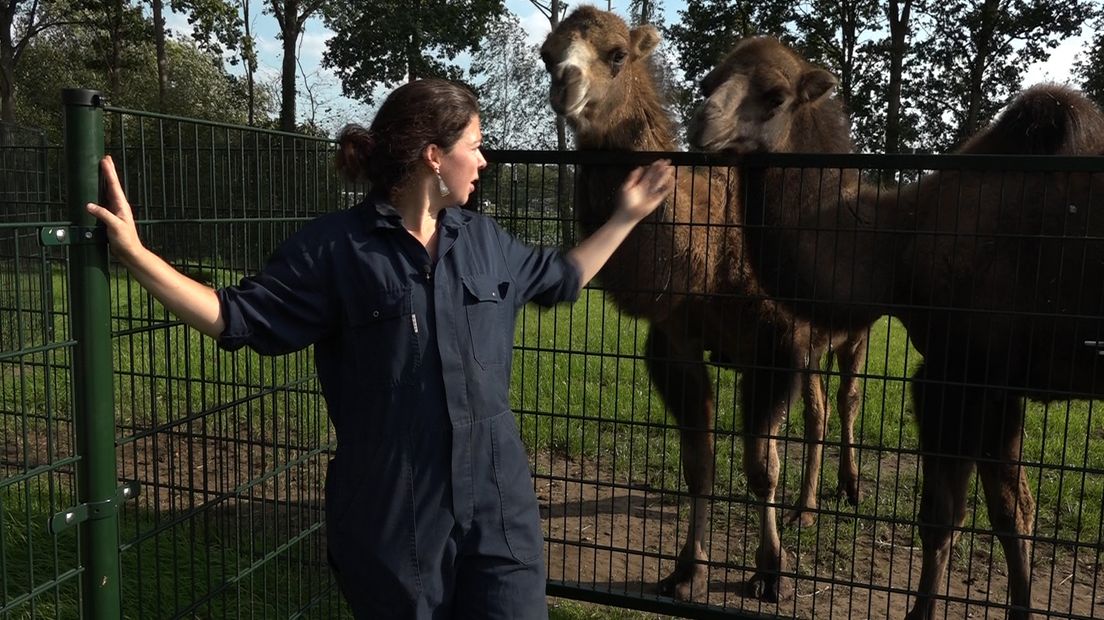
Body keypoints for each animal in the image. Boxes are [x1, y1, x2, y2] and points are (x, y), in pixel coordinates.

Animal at [540, 7, 869, 600]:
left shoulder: (773, 344)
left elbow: (762, 466)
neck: (711, 253)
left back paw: (850, 491)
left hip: (852, 333)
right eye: (546, 53)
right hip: (809, 349)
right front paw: (687, 570)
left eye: (617, 54)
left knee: (848, 397)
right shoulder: (676, 341)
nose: (564, 85)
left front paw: (771, 573)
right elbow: (700, 463)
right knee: (818, 410)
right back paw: (806, 509)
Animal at [688, 35, 1104, 617]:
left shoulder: (956, 371)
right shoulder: (999, 381)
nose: (700, 123)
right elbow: (1013, 511)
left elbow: (942, 518)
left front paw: (919, 610)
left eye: (774, 96)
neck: (896, 246)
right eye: (709, 80)